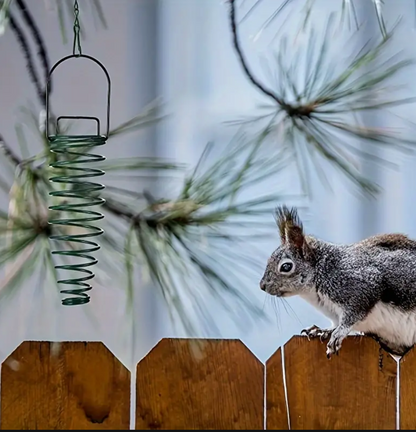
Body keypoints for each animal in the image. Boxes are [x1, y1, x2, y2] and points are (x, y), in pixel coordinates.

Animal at [262, 206, 416, 358]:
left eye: (286, 267)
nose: (262, 286)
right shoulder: (334, 313)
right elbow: (335, 323)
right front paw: (322, 330)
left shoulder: (360, 286)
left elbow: (353, 314)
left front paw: (338, 334)